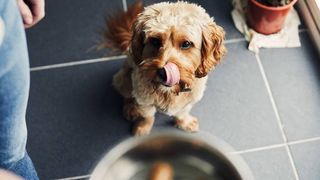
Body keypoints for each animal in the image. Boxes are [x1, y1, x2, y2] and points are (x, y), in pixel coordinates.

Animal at [104, 0, 226, 135]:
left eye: (186, 44)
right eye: (155, 41)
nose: (163, 72)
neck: (168, 92)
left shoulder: (190, 100)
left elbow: (182, 112)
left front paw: (184, 122)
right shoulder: (144, 100)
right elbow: (147, 116)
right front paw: (143, 127)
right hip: (123, 79)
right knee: (127, 95)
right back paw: (130, 107)